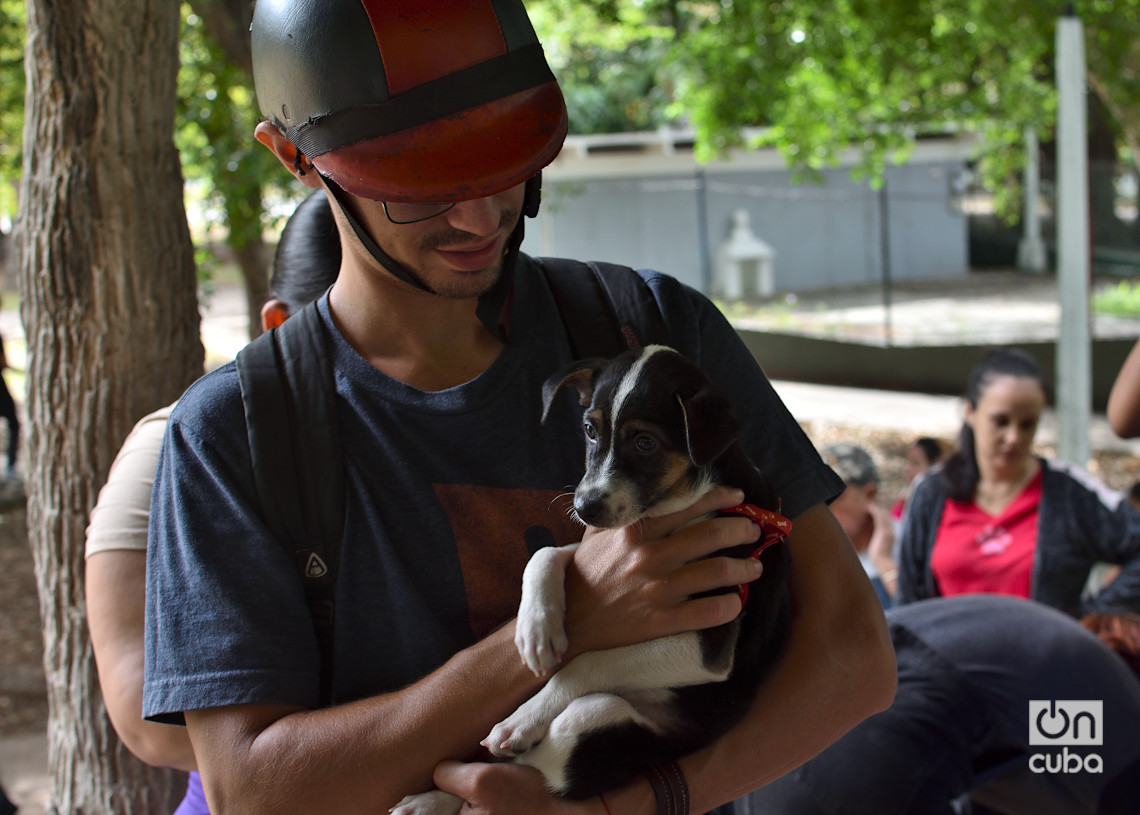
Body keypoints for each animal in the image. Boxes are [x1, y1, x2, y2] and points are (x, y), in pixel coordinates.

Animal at [392, 346, 793, 815]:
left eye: (645, 442)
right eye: (589, 430)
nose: (583, 508)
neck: (685, 500)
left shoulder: (709, 646)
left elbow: (585, 662)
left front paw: (523, 715)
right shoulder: (594, 543)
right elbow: (544, 554)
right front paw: (536, 631)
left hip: (593, 718)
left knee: (537, 763)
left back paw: (507, 736)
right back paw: (429, 800)